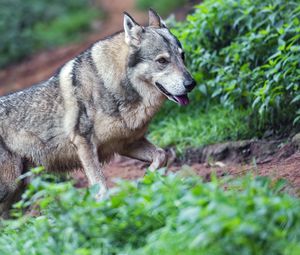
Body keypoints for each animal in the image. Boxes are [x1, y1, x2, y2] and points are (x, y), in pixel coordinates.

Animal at [0, 9, 196, 217]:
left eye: (182, 56)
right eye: (162, 61)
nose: (191, 84)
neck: (112, 85)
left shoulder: (126, 144)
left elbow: (161, 155)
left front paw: (145, 181)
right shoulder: (84, 144)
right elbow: (101, 189)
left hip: (17, 193)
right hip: (10, 187)